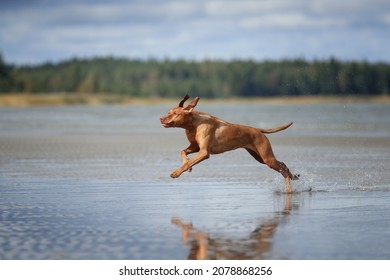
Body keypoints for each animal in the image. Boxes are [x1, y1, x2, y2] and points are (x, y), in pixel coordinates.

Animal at [159, 94, 298, 192]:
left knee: (283, 169)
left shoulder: (204, 152)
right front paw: (188, 165)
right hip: (261, 158)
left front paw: (176, 172)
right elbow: (183, 153)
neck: (194, 124)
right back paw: (294, 177)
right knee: (283, 165)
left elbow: (188, 161)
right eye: (168, 112)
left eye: (175, 113)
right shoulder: (195, 147)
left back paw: (289, 188)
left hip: (267, 158)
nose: (161, 118)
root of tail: (258, 130)